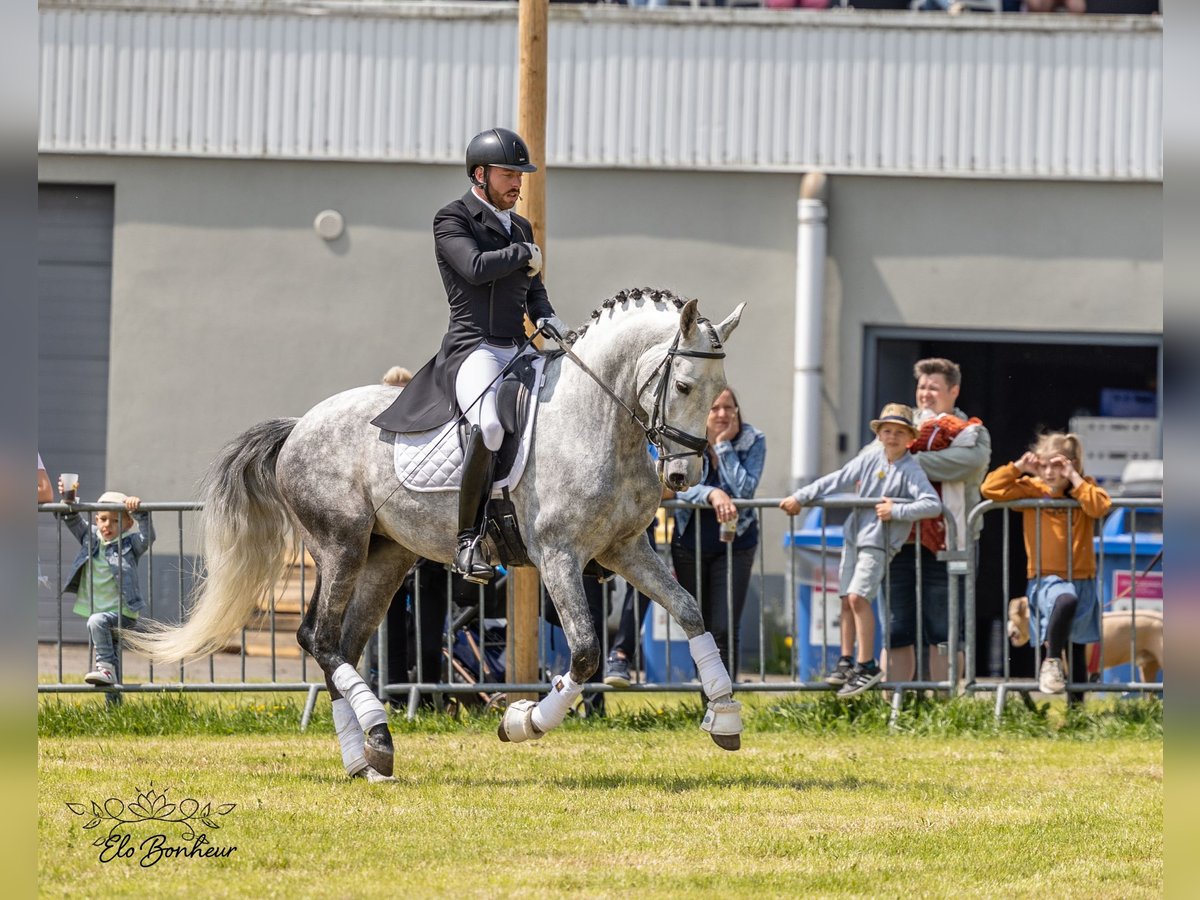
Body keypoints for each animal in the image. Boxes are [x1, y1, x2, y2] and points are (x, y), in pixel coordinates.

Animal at [126, 290, 744, 782]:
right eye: (683, 384)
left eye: (720, 390)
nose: (684, 476)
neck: (597, 420)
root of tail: (299, 425)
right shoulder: (558, 556)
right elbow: (588, 651)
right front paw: (522, 721)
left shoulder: (625, 549)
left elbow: (691, 612)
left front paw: (724, 715)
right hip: (340, 545)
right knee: (319, 639)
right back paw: (377, 737)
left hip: (385, 559)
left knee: (339, 645)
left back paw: (364, 760)